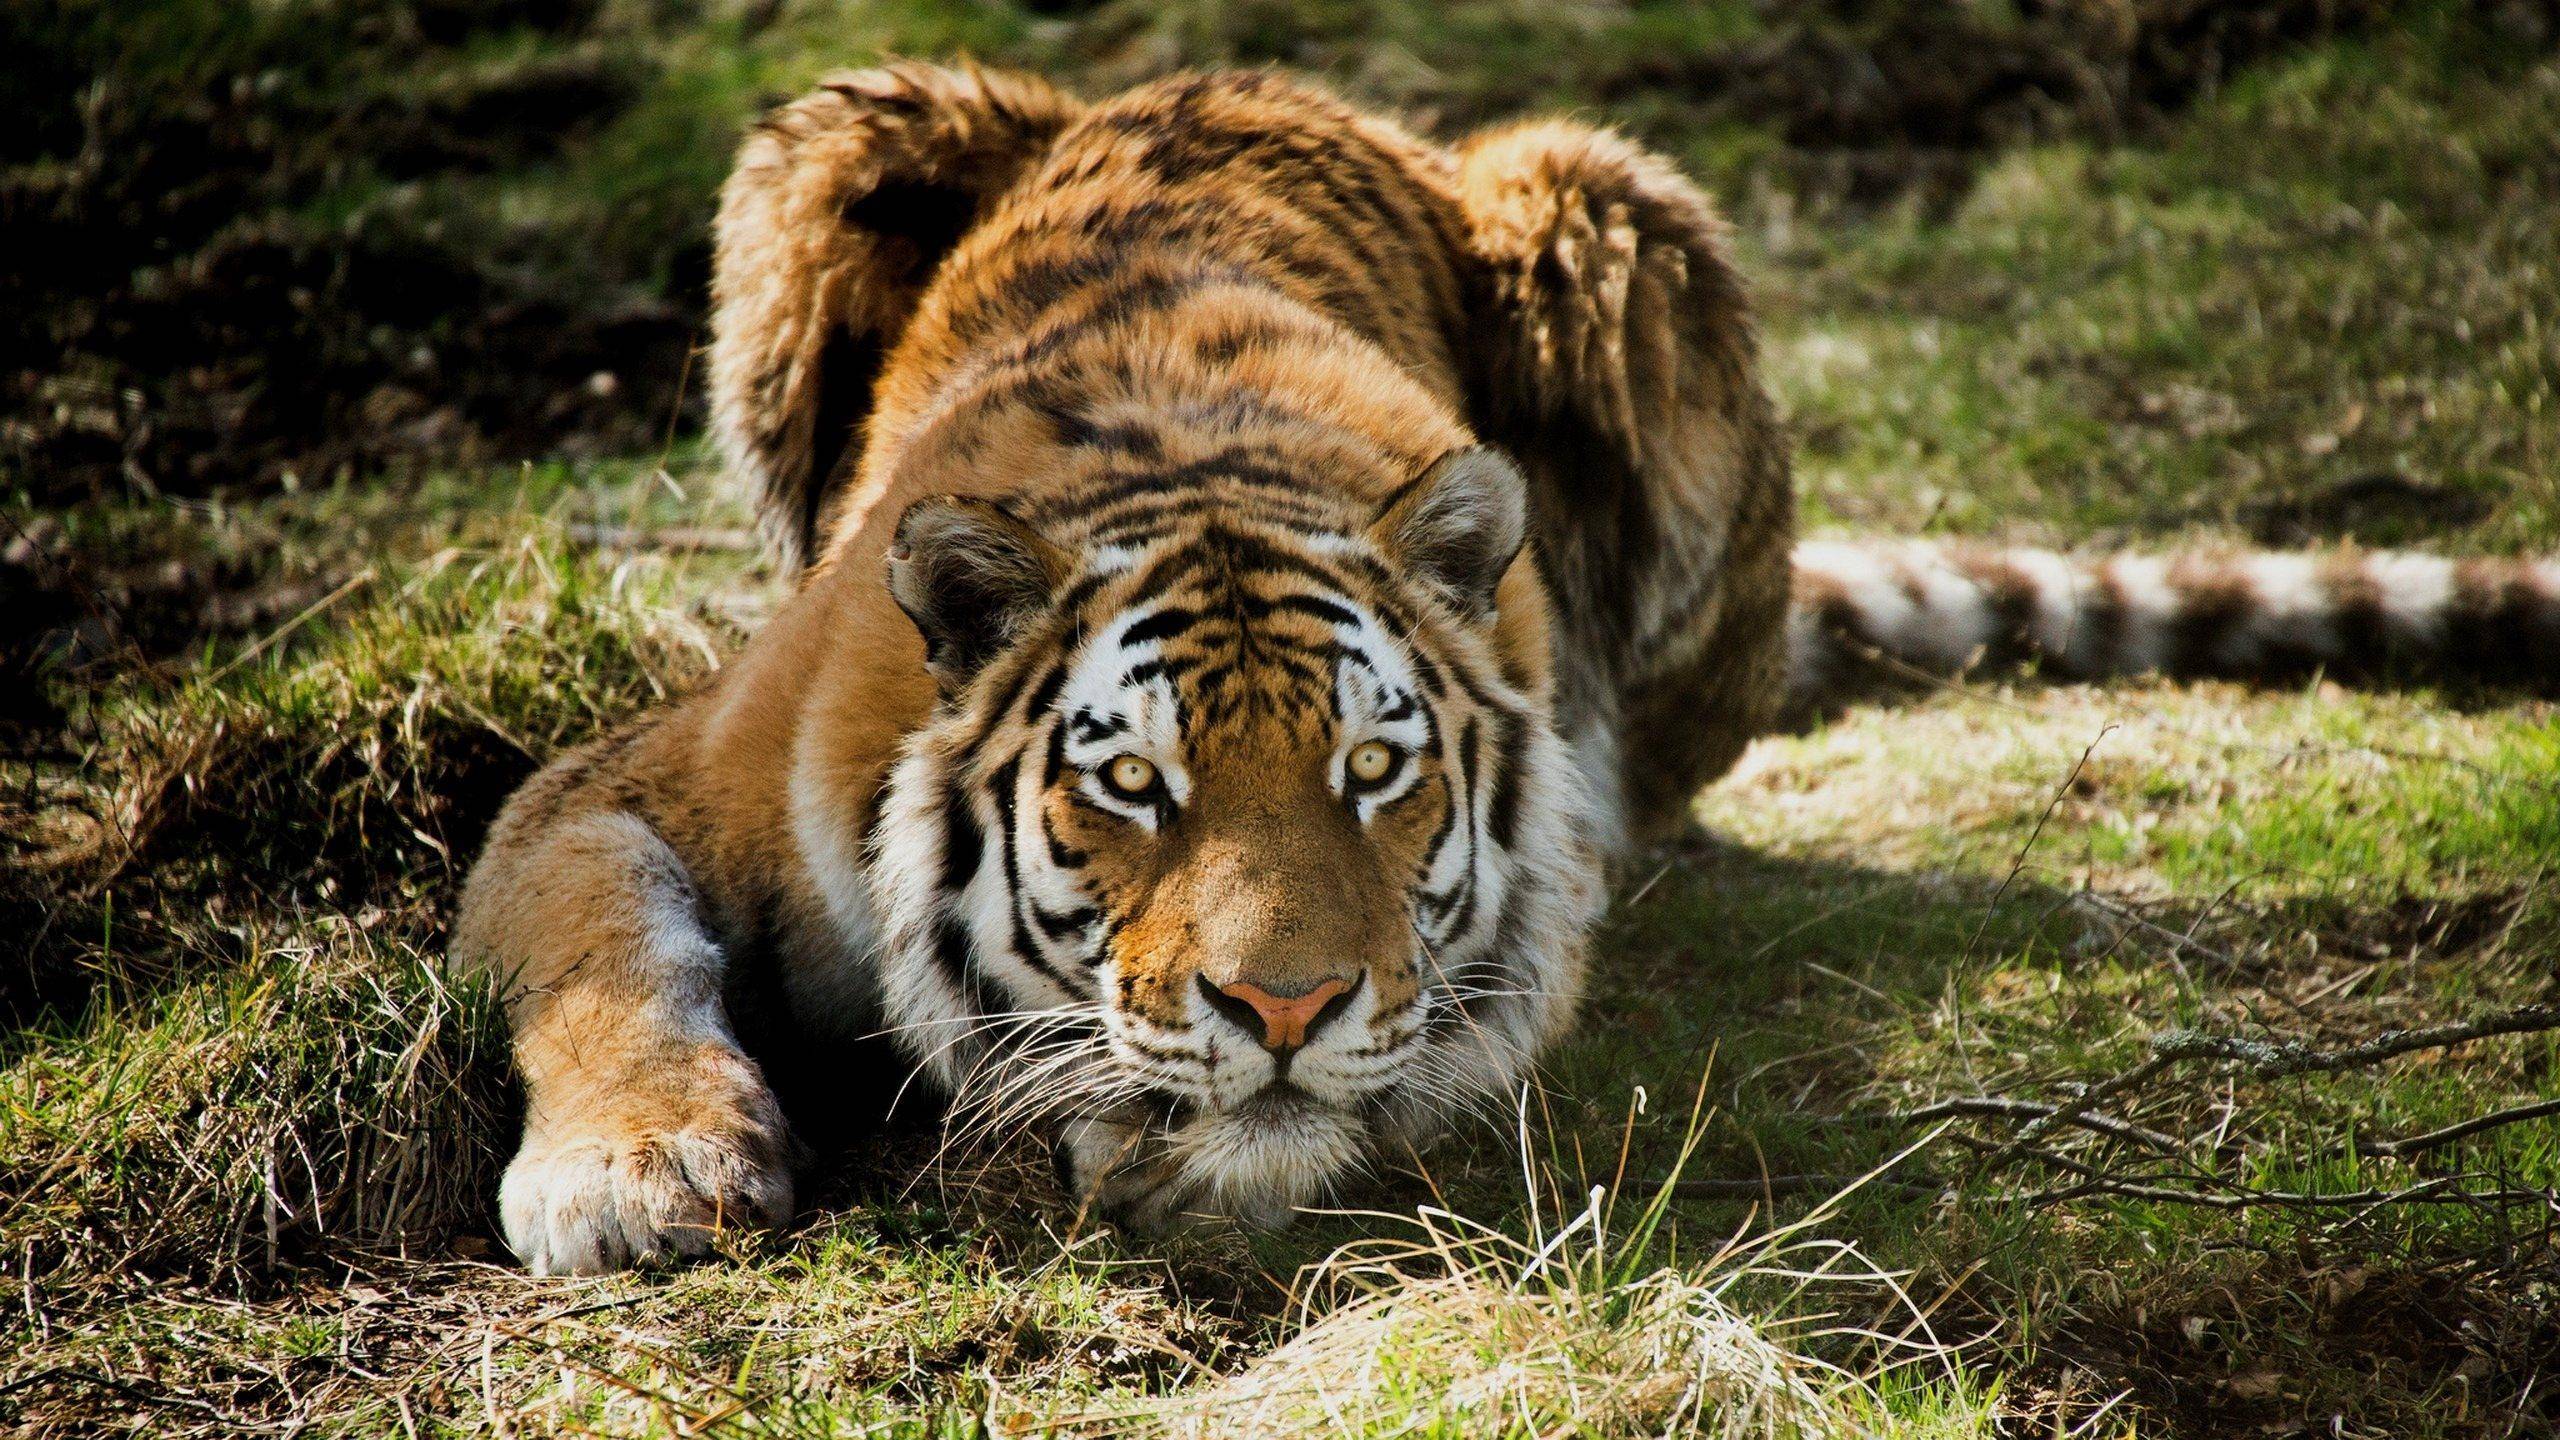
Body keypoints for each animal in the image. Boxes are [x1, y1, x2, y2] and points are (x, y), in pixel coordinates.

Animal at [455, 61, 2560, 1265]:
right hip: (831, 137)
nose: (1282, 1008)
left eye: (1374, 773)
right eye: (1130, 785)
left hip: (1619, 220)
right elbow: (607, 945)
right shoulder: (623, 780)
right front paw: (639, 1171)